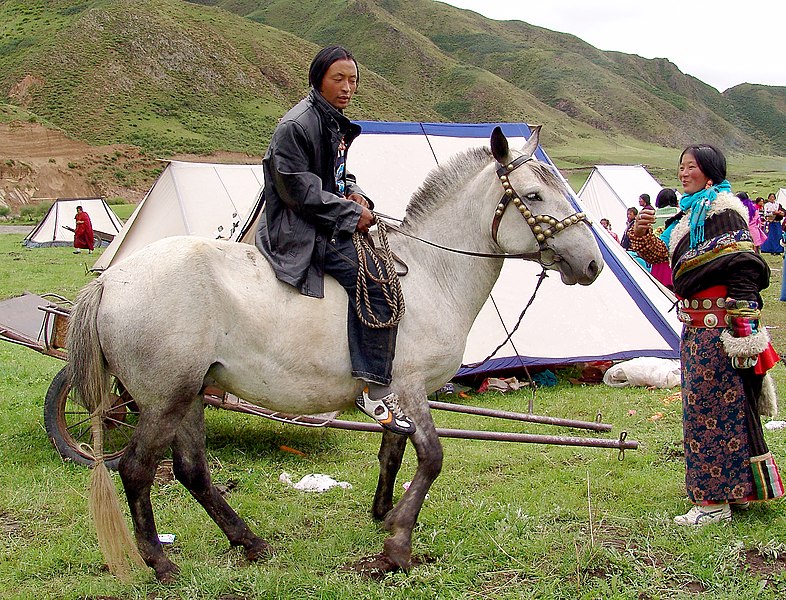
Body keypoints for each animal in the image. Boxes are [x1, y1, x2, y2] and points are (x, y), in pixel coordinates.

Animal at [70, 126, 604, 580]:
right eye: (533, 196)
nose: (592, 264)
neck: (431, 274)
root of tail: (111, 283)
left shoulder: (392, 391)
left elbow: (393, 451)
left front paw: (384, 515)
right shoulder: (411, 386)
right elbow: (431, 457)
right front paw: (398, 546)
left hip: (193, 394)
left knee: (192, 470)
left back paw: (250, 542)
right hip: (164, 399)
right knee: (137, 470)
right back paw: (160, 563)